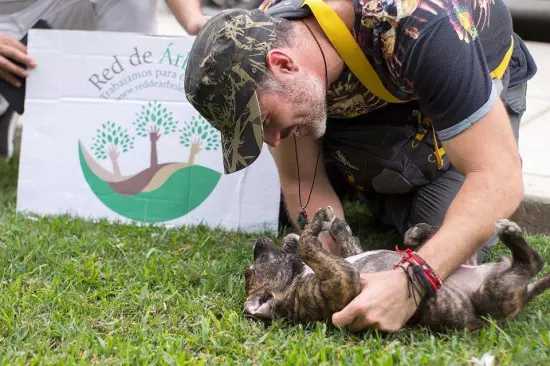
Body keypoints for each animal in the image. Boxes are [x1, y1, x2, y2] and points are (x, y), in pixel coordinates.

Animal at [245, 206, 550, 332]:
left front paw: (335, 226)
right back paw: (511, 234)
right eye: (250, 272)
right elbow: (310, 248)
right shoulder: (344, 280)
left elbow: (347, 245)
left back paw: (418, 234)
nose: (258, 243)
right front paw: (318, 222)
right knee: (534, 261)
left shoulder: (346, 262)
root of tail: (527, 293)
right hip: (492, 293)